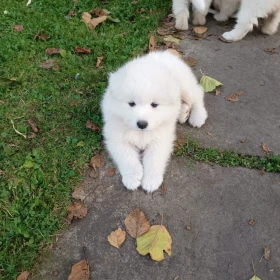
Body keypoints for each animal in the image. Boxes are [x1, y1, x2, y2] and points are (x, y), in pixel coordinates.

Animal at [101, 50, 207, 192]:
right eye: (131, 104)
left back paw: (197, 116)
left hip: (186, 86)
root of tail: (166, 53)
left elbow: (154, 159)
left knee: (197, 95)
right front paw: (132, 178)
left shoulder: (160, 139)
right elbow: (127, 157)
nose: (142, 124)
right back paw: (183, 114)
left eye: (154, 105)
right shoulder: (116, 137)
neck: (141, 133)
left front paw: (151, 180)